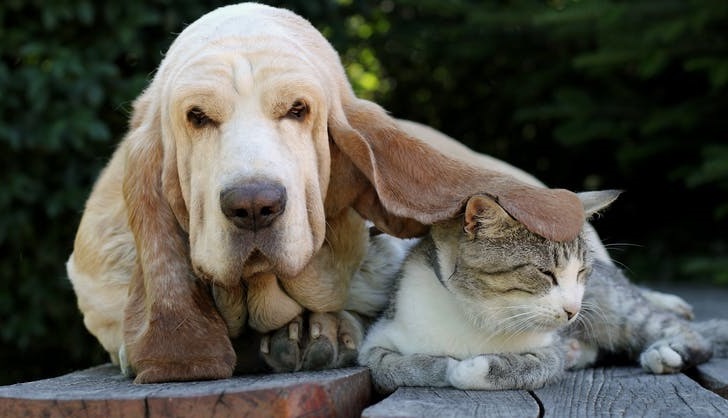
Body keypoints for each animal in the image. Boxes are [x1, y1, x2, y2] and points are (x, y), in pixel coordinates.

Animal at [356, 191, 724, 394]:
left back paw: (669, 352)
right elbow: (395, 366)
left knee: (689, 333)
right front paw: (440, 366)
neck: (477, 317)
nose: (573, 311)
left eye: (581, 272)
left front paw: (468, 369)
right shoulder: (377, 341)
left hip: (616, 311)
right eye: (545, 272)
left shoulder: (550, 351)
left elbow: (526, 367)